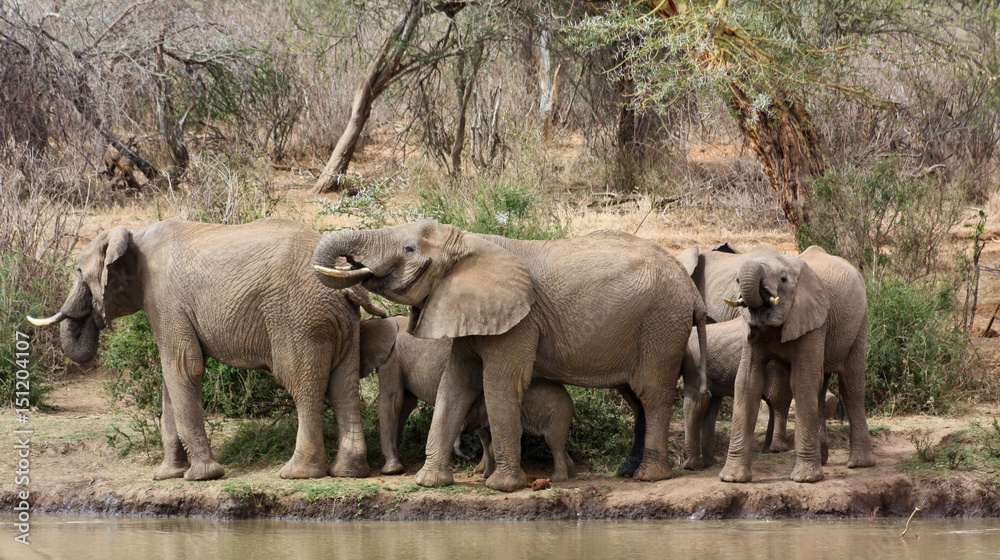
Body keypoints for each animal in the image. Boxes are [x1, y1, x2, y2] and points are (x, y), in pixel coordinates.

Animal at [28, 218, 384, 481]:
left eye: (77, 271)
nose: (94, 316)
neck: (134, 233)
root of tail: (348, 286)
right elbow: (171, 379)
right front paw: (167, 476)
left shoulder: (166, 299)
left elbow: (183, 367)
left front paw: (201, 476)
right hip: (342, 321)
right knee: (344, 387)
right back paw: (348, 472)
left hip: (298, 318)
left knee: (302, 384)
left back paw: (297, 474)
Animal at [718, 245, 876, 483]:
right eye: (737, 280)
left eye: (783, 279)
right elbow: (747, 383)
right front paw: (732, 478)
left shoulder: (813, 319)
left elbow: (802, 381)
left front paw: (806, 479)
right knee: (820, 385)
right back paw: (822, 460)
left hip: (860, 320)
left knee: (851, 384)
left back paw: (859, 464)